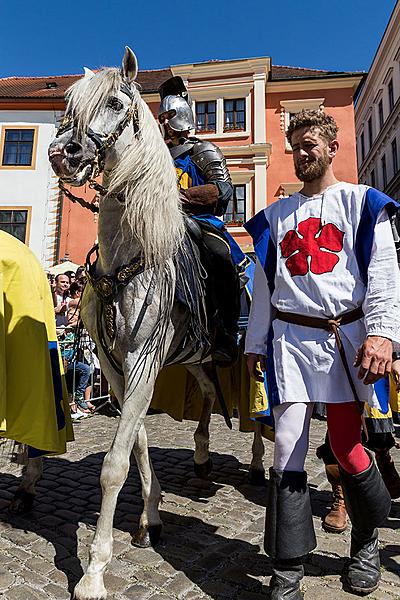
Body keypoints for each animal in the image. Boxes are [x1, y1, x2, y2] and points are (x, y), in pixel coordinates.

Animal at [47, 48, 266, 600]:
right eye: (68, 106)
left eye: (116, 102)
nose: (65, 153)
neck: (130, 259)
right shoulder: (118, 368)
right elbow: (139, 445)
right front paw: (150, 517)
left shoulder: (144, 364)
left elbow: (114, 465)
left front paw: (94, 572)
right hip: (198, 359)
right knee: (210, 394)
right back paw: (204, 458)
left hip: (254, 357)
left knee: (263, 412)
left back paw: (258, 464)